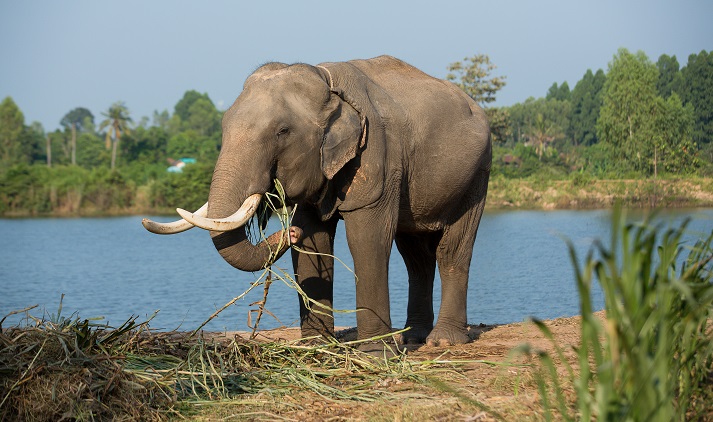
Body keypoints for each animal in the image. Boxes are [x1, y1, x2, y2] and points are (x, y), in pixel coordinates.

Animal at [145, 55, 490, 352]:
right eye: (223, 125)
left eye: (282, 131)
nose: (288, 233)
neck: (326, 79)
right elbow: (314, 240)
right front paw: (317, 347)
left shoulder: (377, 153)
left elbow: (367, 239)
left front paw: (375, 354)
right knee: (416, 256)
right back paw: (414, 337)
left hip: (477, 175)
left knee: (452, 249)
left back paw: (443, 341)